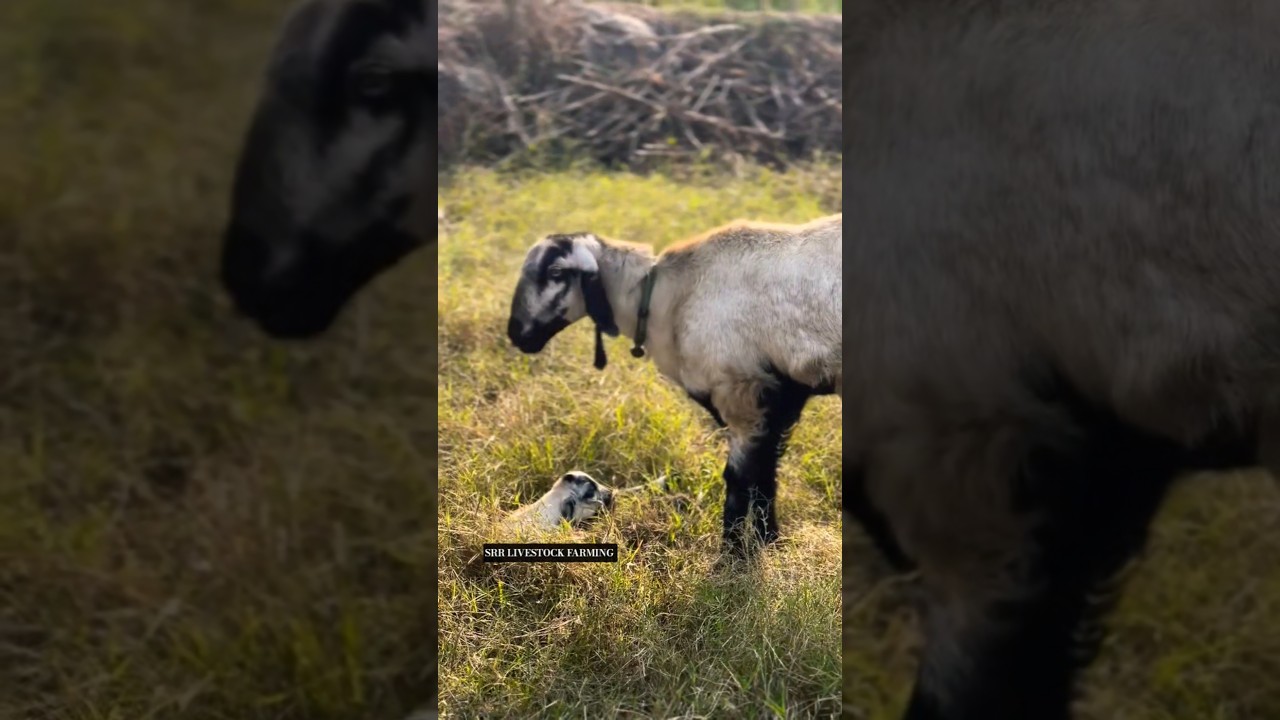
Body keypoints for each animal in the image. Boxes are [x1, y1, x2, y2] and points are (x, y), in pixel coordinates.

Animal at [505, 216, 842, 557]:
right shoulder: (780, 400)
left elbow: (740, 478)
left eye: (555, 272)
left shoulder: (741, 394)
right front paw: (767, 541)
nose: (516, 334)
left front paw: (732, 552)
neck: (666, 300)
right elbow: (765, 477)